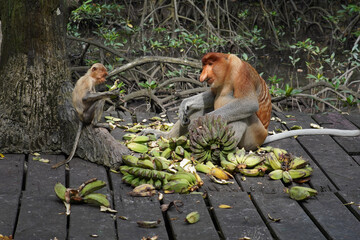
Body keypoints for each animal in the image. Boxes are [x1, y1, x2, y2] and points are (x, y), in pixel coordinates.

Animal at [141, 53, 360, 149]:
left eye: (210, 64)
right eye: (204, 65)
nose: (202, 75)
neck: (228, 69)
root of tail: (264, 138)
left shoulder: (241, 73)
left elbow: (248, 104)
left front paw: (199, 122)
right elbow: (210, 96)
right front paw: (184, 106)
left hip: (254, 135)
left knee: (240, 117)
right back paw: (166, 136)